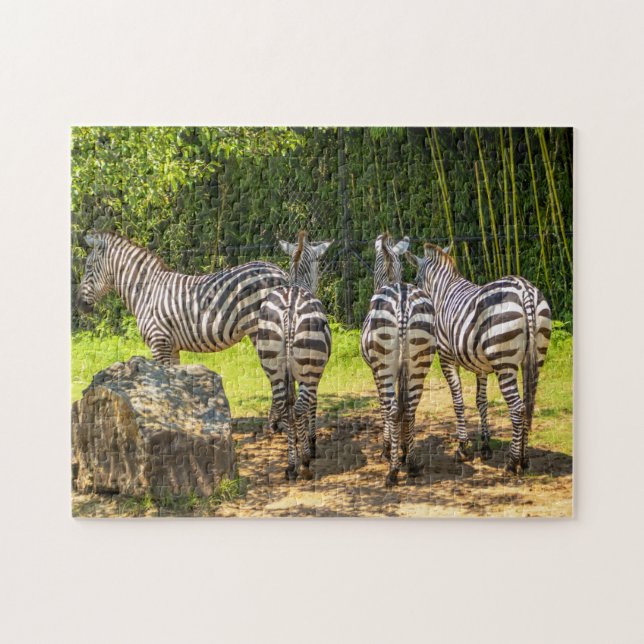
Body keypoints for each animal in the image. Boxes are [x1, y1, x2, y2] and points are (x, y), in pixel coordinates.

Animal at [76, 231, 288, 364]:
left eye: (88, 268)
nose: (78, 305)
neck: (146, 292)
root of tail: (280, 272)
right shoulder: (172, 347)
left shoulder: (158, 341)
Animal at [256, 231, 333, 482]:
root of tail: (289, 308)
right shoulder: (316, 376)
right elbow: (311, 406)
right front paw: (310, 444)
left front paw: (298, 444)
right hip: (310, 367)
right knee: (298, 408)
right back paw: (305, 464)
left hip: (273, 366)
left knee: (284, 406)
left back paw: (291, 466)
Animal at [360, 234, 436, 486]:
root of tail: (402, 298)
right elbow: (404, 406)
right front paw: (403, 448)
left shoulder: (375, 370)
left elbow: (386, 408)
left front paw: (388, 448)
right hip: (418, 361)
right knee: (410, 407)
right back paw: (411, 463)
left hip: (384, 363)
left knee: (393, 408)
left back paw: (392, 471)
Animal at [405, 243, 551, 474]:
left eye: (416, 279)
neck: (443, 292)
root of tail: (525, 289)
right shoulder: (481, 366)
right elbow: (481, 401)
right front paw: (485, 446)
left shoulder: (446, 357)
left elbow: (458, 401)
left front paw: (463, 448)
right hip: (536, 357)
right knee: (528, 403)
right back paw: (525, 459)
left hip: (504, 363)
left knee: (517, 408)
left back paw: (513, 462)